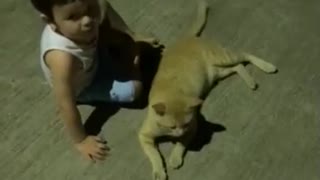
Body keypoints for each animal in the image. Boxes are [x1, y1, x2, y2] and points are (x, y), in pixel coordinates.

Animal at [139, 0, 276, 179]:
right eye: (172, 127)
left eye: (185, 124)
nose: (179, 133)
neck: (171, 95)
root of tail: (187, 38)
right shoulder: (144, 135)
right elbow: (154, 154)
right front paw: (159, 170)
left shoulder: (192, 129)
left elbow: (181, 145)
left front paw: (175, 157)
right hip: (218, 71)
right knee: (238, 66)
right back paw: (251, 82)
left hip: (223, 58)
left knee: (245, 54)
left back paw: (268, 66)